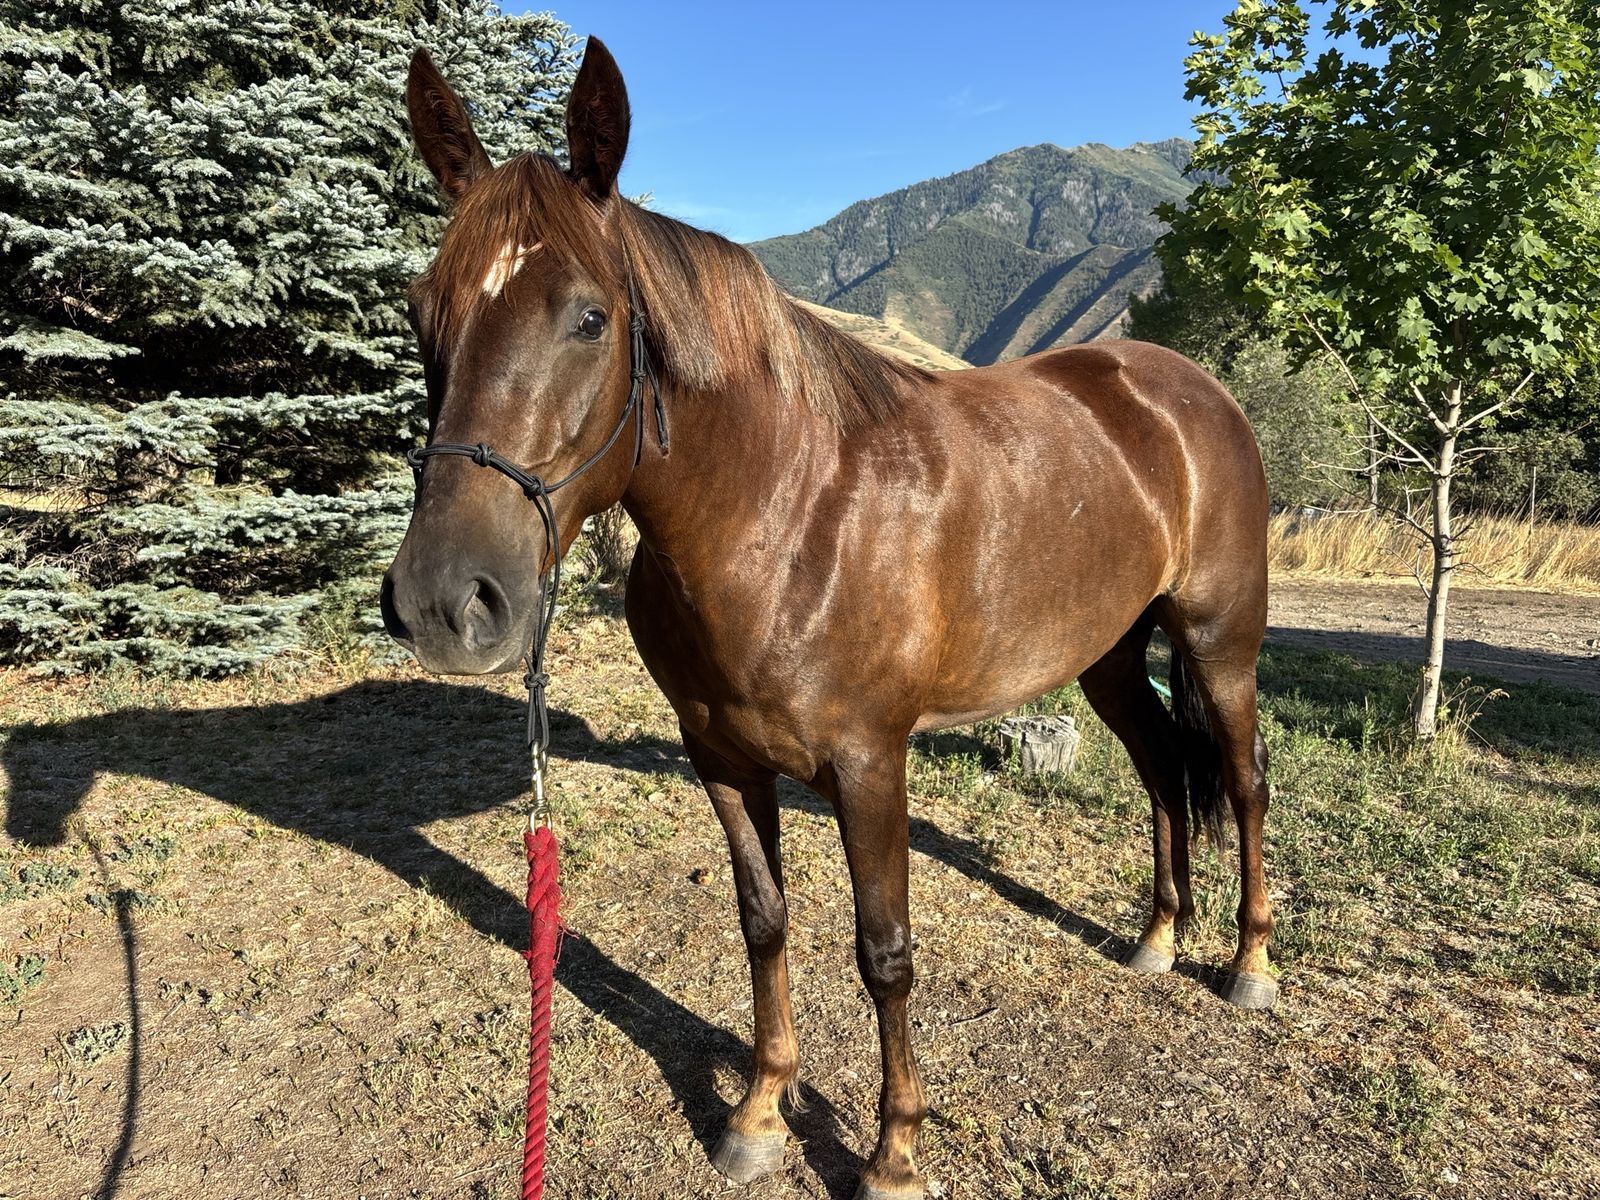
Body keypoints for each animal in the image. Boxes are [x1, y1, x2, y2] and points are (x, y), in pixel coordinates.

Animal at [381, 37, 1276, 1200]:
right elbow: (763, 923)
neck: (784, 518)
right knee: (1165, 768)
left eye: (588, 317)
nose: (445, 603)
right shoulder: (720, 757)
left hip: (1219, 642)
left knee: (1244, 783)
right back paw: (1157, 938)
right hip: (1112, 658)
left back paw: (1249, 963)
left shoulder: (869, 764)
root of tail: (1182, 388)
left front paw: (892, 1153)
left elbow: (883, 951)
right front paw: (760, 1113)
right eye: (421, 311)